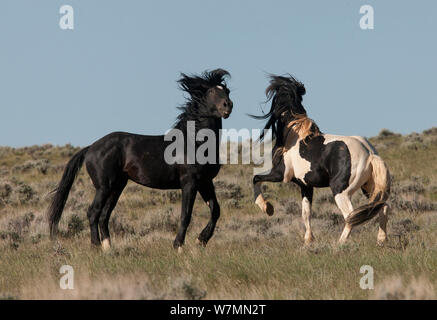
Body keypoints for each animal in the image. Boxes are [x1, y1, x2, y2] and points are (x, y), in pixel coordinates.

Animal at [47, 69, 232, 251]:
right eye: (211, 91)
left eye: (227, 90)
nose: (228, 105)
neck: (195, 142)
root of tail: (91, 147)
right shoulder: (189, 182)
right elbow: (185, 215)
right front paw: (178, 246)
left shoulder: (205, 182)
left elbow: (216, 211)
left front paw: (201, 240)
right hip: (104, 186)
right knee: (93, 212)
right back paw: (96, 246)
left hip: (117, 186)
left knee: (104, 215)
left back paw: (108, 247)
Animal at [250, 75, 390, 245]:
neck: (294, 133)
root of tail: (369, 154)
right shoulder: (305, 186)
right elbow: (306, 213)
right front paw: (308, 240)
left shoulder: (280, 174)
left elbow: (256, 178)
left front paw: (267, 208)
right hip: (369, 188)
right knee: (382, 208)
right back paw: (381, 240)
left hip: (340, 191)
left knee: (351, 216)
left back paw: (339, 244)